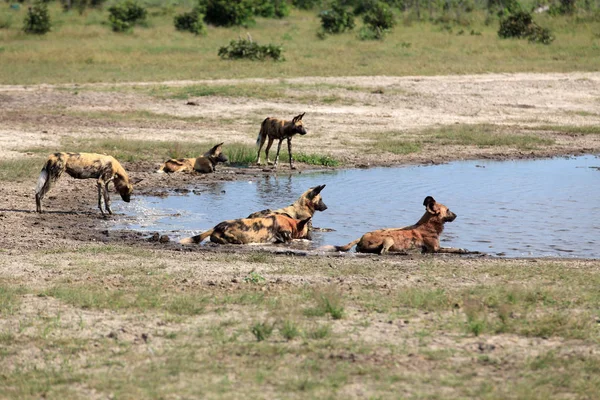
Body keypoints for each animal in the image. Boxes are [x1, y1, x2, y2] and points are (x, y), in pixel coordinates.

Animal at [336, 195, 466, 255]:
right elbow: (453, 249)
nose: (456, 215)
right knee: (383, 252)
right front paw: (463, 250)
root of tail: (361, 237)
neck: (428, 225)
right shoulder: (435, 249)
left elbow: (451, 247)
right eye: (448, 210)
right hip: (389, 239)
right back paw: (402, 252)